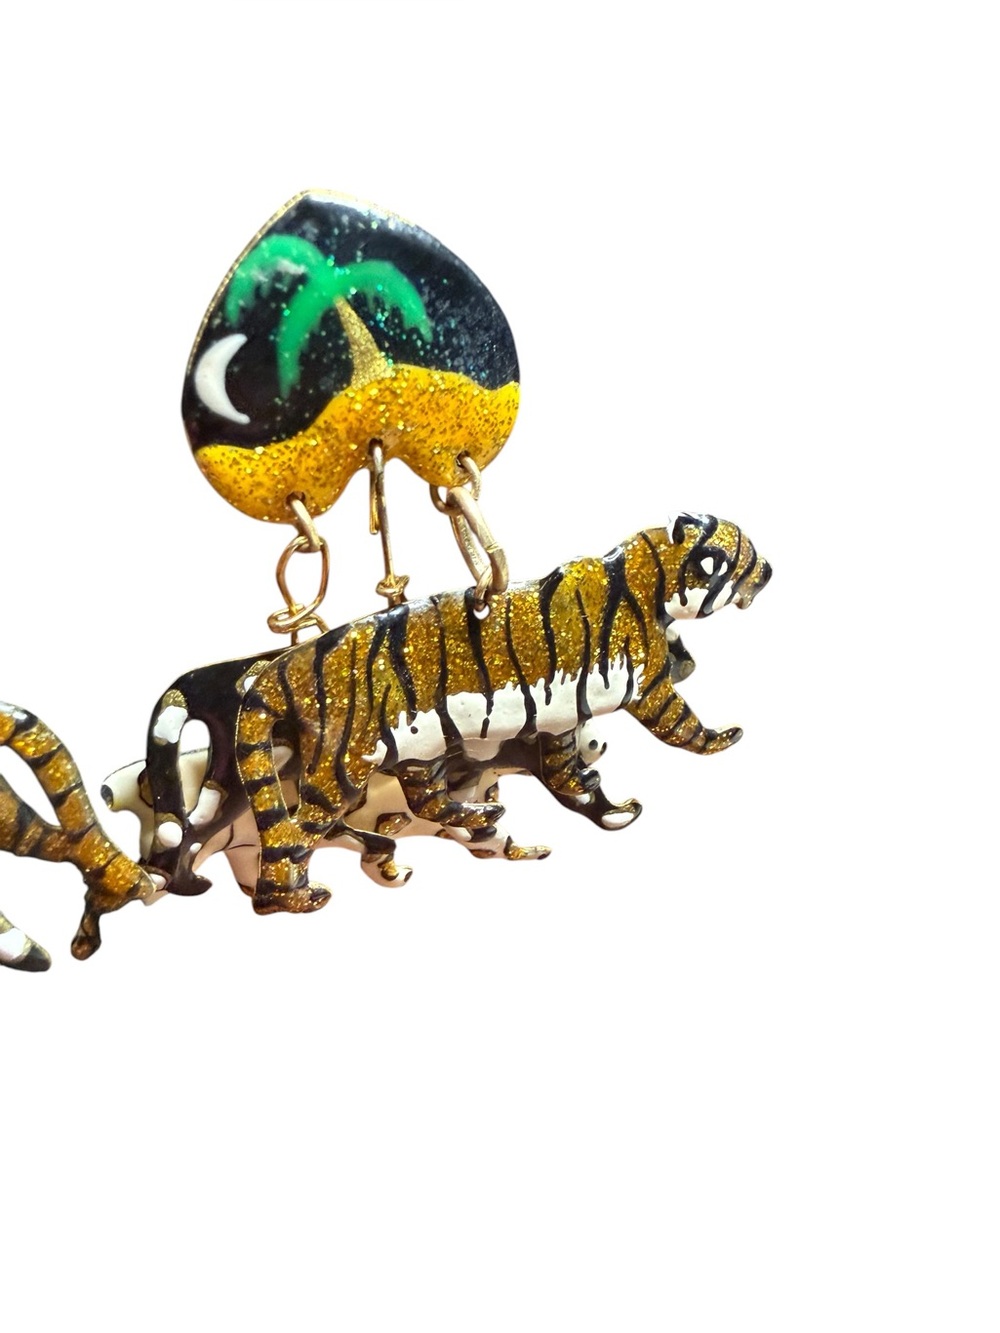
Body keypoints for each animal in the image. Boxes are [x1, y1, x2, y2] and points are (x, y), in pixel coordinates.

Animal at [234, 512, 772, 914]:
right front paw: (725, 736)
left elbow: (565, 769)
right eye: (746, 555)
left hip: (420, 751)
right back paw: (297, 898)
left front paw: (596, 793)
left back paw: (481, 812)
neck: (650, 572)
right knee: (291, 838)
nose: (770, 570)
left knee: (427, 801)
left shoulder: (560, 716)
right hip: (342, 767)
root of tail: (285, 665)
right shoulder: (649, 685)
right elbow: (683, 725)